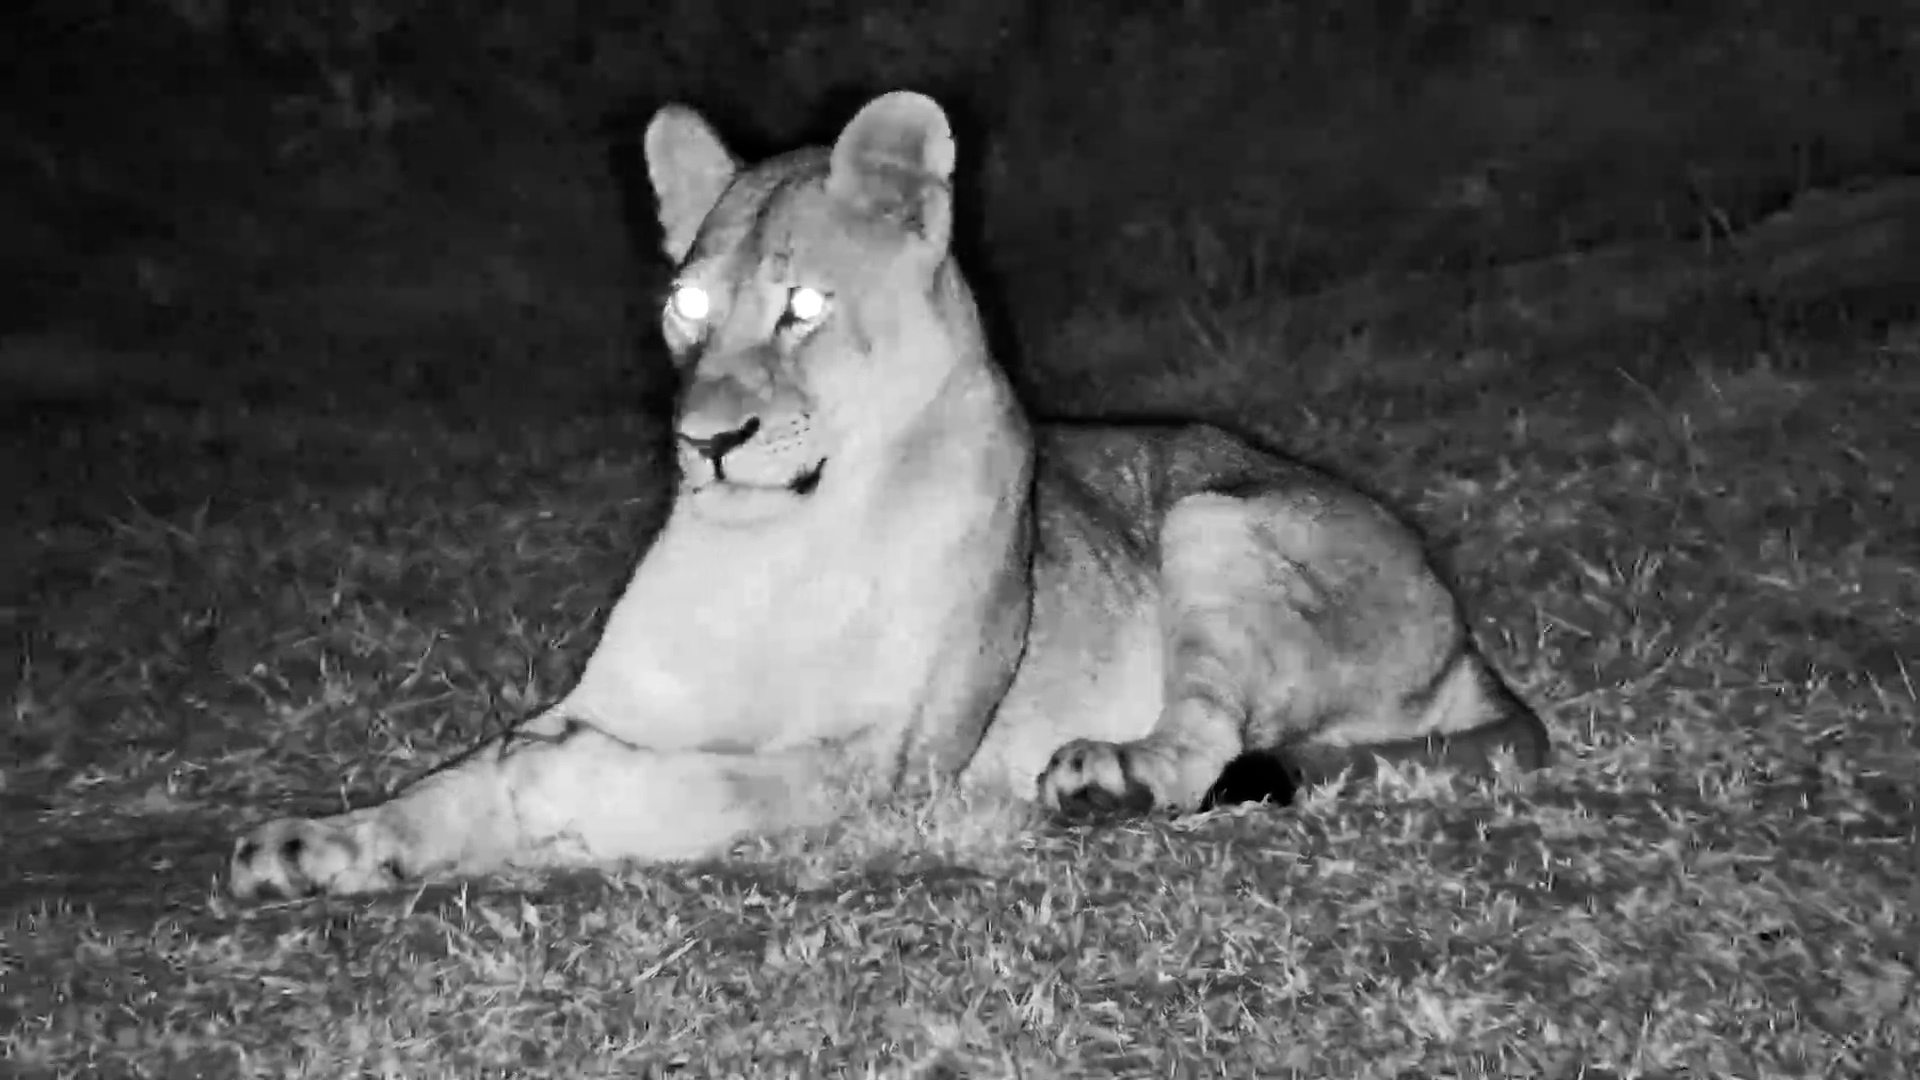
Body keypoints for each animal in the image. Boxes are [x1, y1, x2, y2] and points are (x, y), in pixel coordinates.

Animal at [228, 90, 1550, 899]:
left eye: (804, 307)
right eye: (687, 307)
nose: (706, 441)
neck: (772, 541)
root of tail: (1472, 647)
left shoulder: (880, 766)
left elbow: (660, 776)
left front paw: (545, 786)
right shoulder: (624, 697)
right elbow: (456, 780)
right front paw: (323, 844)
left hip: (1216, 516)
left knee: (1209, 736)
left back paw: (1109, 776)